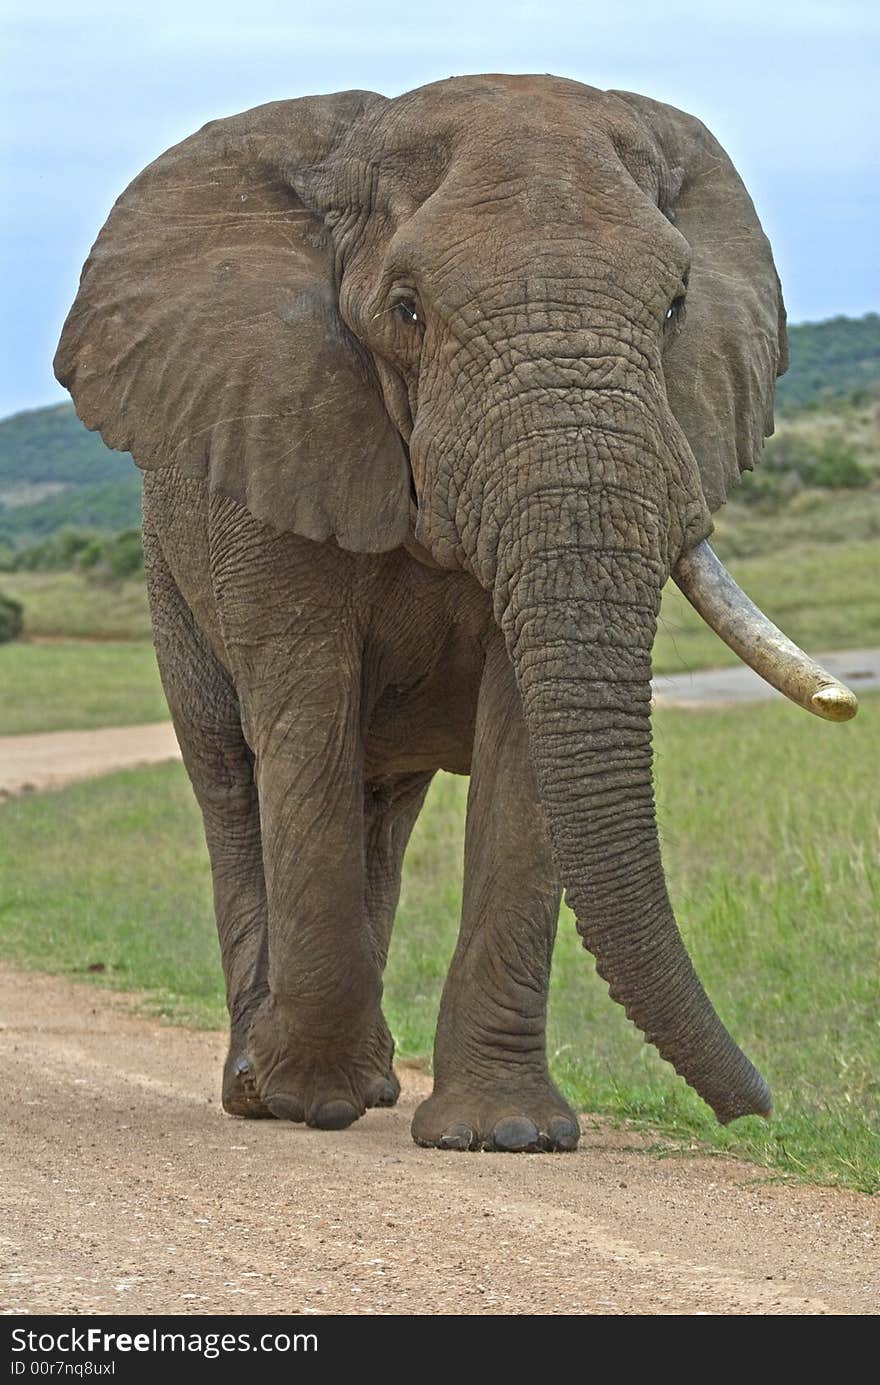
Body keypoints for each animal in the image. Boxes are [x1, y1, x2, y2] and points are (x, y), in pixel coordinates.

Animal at [51, 78, 859, 1157]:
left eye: (675, 306)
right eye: (408, 310)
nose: (760, 1106)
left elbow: (521, 749)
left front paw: (504, 1134)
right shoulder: (274, 447)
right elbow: (305, 718)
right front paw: (312, 1100)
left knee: (380, 805)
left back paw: (369, 1080)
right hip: (168, 580)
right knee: (235, 777)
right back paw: (261, 1086)